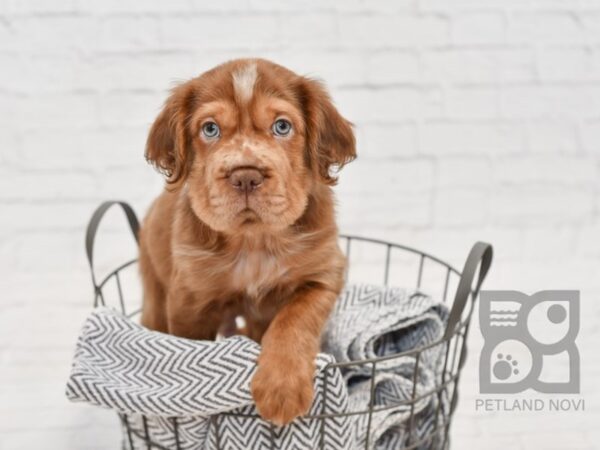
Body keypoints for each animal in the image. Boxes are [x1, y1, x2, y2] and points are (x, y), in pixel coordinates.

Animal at [139, 59, 356, 426]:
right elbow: (191, 347)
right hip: (154, 289)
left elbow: (293, 320)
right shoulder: (189, 300)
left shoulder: (323, 273)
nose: (245, 176)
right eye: (210, 129)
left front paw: (281, 388)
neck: (254, 240)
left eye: (282, 126)